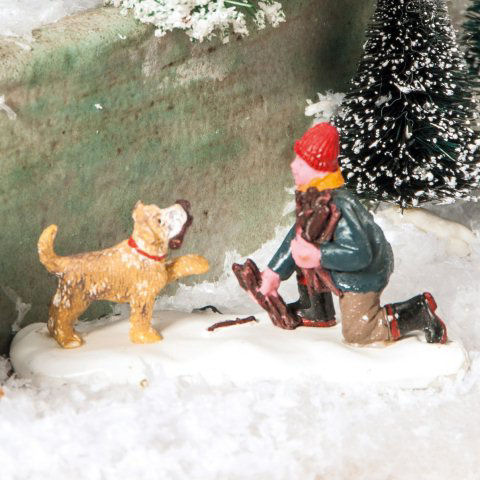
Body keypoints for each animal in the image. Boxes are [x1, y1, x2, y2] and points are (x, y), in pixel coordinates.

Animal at [36, 200, 209, 348]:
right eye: (160, 220)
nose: (183, 203)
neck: (143, 250)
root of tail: (63, 263)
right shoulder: (143, 297)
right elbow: (142, 318)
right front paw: (146, 337)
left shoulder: (161, 274)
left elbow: (177, 264)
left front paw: (200, 262)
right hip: (75, 301)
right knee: (60, 321)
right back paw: (69, 340)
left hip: (64, 297)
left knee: (52, 318)